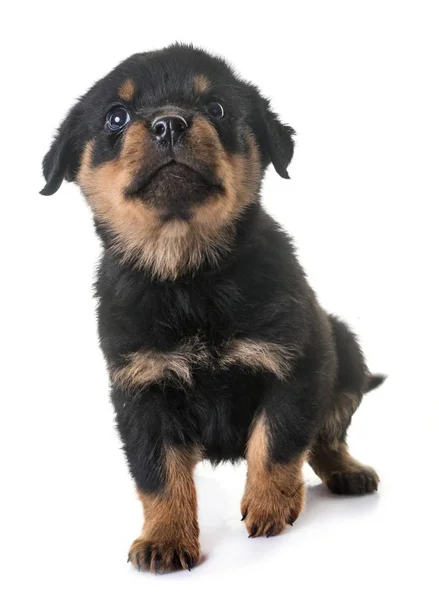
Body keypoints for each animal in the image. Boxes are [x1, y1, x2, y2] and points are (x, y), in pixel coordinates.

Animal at [41, 44, 384, 576]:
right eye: (117, 117)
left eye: (217, 109)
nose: (168, 124)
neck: (189, 274)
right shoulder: (141, 391)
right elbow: (158, 473)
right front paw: (165, 536)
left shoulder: (298, 363)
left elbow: (278, 440)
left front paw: (270, 504)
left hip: (343, 346)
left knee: (327, 434)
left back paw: (347, 472)